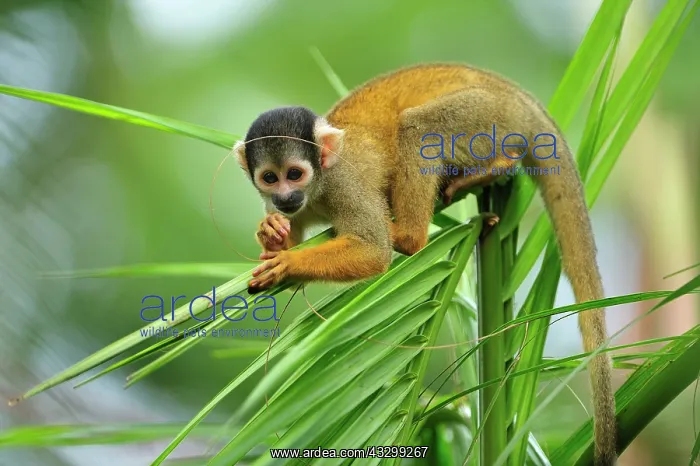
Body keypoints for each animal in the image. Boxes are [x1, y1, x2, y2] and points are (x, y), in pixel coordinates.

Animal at [233, 64, 616, 465]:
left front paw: (288, 262)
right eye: (270, 178)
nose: (286, 196)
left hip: (487, 115)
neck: (317, 187)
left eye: (295, 174)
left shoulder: (344, 184)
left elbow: (373, 250)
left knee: (418, 127)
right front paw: (274, 235)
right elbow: (288, 232)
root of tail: (517, 95)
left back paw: (413, 232)